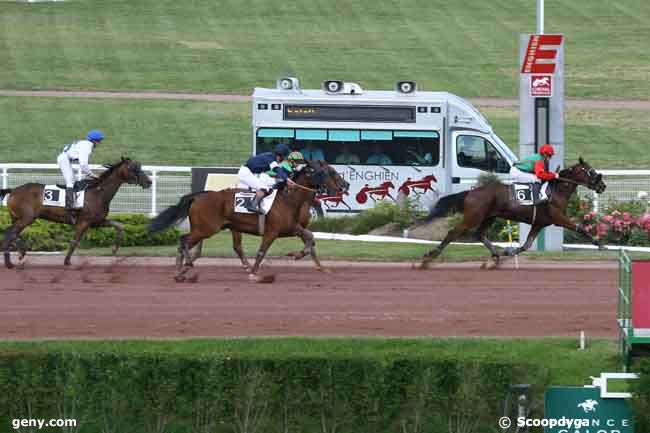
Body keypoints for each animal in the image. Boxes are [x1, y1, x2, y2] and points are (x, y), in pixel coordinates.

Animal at [0, 157, 152, 268]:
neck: (98, 193)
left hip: (18, 217)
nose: (149, 182)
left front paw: (114, 248)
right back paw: (9, 263)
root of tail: (13, 190)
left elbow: (119, 225)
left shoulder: (97, 221)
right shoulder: (84, 221)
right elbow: (75, 241)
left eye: (140, 167)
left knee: (11, 232)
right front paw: (67, 261)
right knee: (11, 233)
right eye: (134, 168)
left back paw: (20, 252)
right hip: (27, 217)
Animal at [149, 160, 346, 282]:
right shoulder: (272, 232)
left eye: (330, 171)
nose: (342, 187)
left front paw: (313, 263)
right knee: (183, 240)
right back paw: (185, 267)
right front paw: (255, 274)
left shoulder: (292, 228)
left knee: (190, 245)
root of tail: (198, 196)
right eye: (325, 172)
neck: (288, 200)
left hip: (213, 228)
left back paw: (180, 272)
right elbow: (261, 252)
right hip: (205, 229)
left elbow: (310, 239)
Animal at [418, 157, 604, 268]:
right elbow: (580, 227)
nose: (602, 186)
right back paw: (429, 257)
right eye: (590, 171)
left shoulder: (539, 223)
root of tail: (471, 192)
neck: (557, 190)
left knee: (479, 235)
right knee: (453, 232)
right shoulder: (558, 218)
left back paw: (496, 254)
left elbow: (526, 245)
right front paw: (599, 243)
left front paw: (508, 252)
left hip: (489, 217)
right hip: (473, 217)